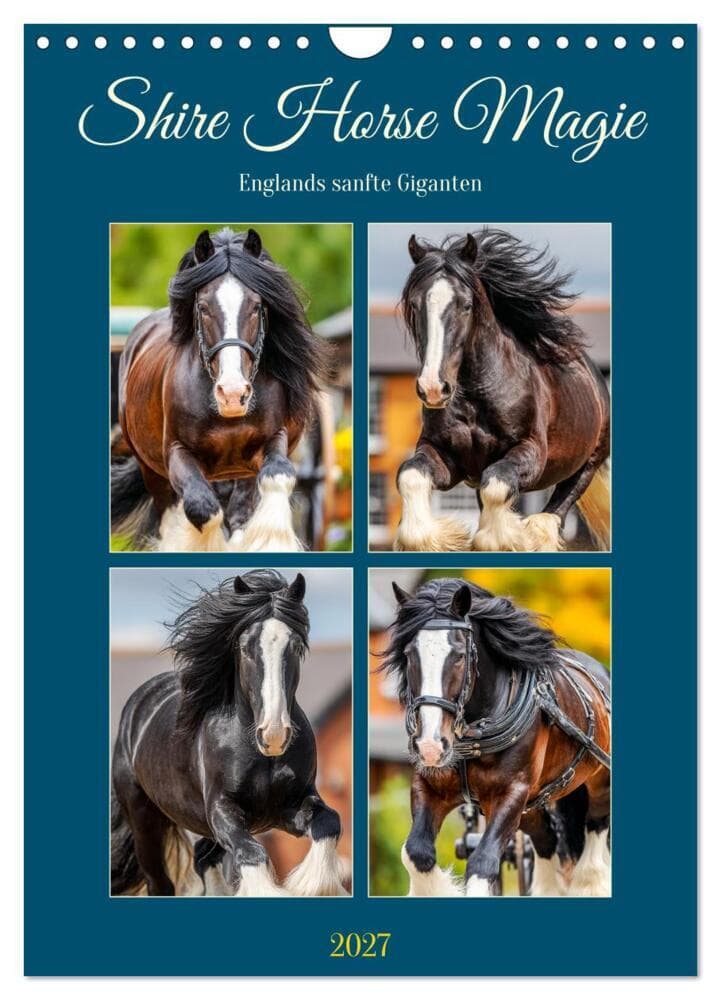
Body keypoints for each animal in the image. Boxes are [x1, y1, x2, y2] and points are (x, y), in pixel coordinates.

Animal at [111, 227, 333, 552]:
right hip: (153, 472)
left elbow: (277, 478)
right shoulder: (176, 453)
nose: (232, 395)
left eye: (257, 306)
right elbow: (203, 509)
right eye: (203, 308)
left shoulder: (271, 442)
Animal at [111, 570, 347, 897]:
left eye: (297, 647)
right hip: (144, 821)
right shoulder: (223, 811)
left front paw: (313, 886)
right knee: (161, 881)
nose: (273, 735)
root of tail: (139, 703)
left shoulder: (289, 808)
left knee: (203, 858)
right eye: (245, 648)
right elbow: (252, 854)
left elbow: (330, 822)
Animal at [382, 577, 611, 897]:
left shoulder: (511, 793)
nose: (429, 746)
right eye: (408, 655)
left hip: (598, 787)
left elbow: (483, 863)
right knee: (548, 842)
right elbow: (416, 853)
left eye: (459, 655)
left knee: (593, 844)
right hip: (533, 805)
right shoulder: (429, 787)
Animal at [394, 229, 610, 552]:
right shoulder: (446, 456)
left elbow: (496, 486)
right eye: (415, 305)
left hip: (586, 464)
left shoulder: (530, 452)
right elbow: (410, 475)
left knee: (550, 516)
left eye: (466, 305)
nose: (433, 388)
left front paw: (501, 539)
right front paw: (440, 537)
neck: (478, 395)